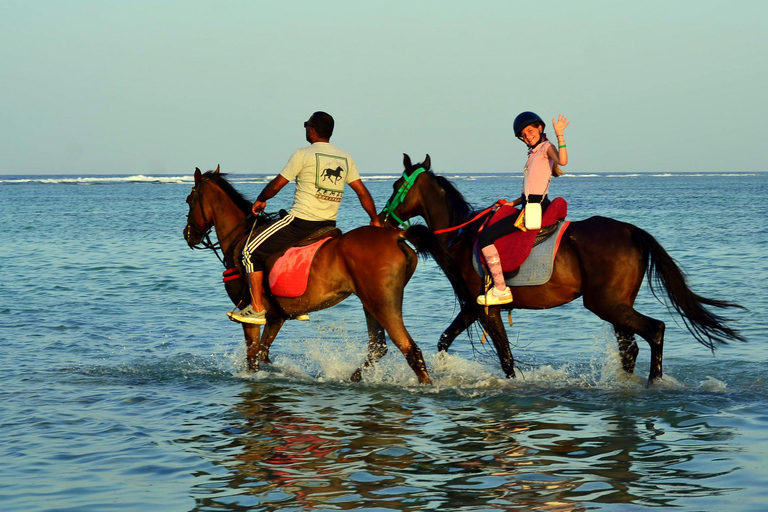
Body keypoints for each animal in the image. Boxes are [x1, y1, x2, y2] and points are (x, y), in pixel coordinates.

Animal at [183, 166, 488, 382]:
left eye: (189, 200)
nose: (189, 235)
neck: (242, 237)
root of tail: (396, 235)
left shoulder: (252, 316)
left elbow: (252, 357)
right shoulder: (276, 317)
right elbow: (264, 354)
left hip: (382, 303)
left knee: (409, 349)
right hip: (371, 303)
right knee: (378, 347)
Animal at [382, 154, 744, 386]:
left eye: (397, 184)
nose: (383, 217)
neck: (464, 233)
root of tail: (630, 231)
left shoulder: (486, 309)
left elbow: (505, 357)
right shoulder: (474, 306)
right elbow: (444, 341)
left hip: (605, 303)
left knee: (655, 330)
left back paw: (654, 383)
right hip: (616, 304)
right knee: (631, 348)